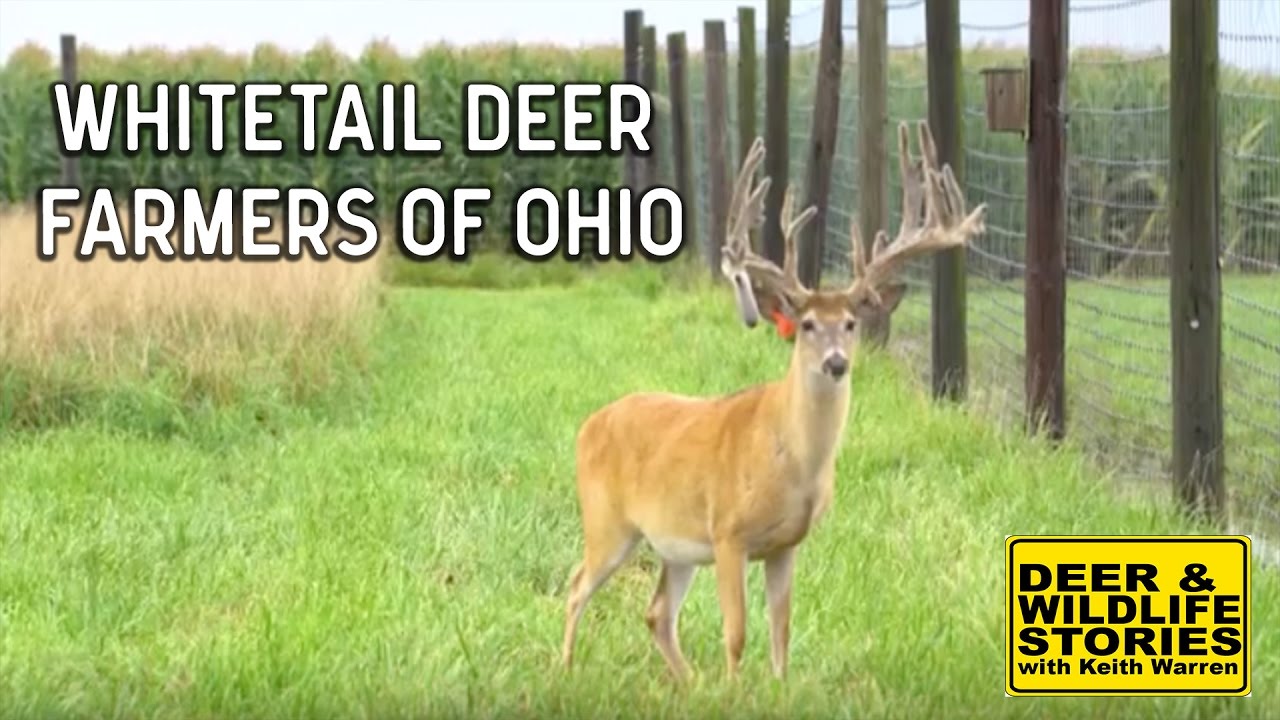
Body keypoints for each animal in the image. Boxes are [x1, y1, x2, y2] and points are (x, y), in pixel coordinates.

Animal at [560, 120, 986, 681]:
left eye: (851, 323)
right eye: (806, 324)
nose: (835, 363)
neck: (794, 462)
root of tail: (588, 424)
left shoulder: (787, 544)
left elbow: (781, 633)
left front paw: (775, 687)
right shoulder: (729, 533)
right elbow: (737, 634)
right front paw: (734, 689)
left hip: (674, 544)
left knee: (657, 614)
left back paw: (689, 685)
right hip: (607, 520)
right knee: (576, 588)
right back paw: (564, 670)